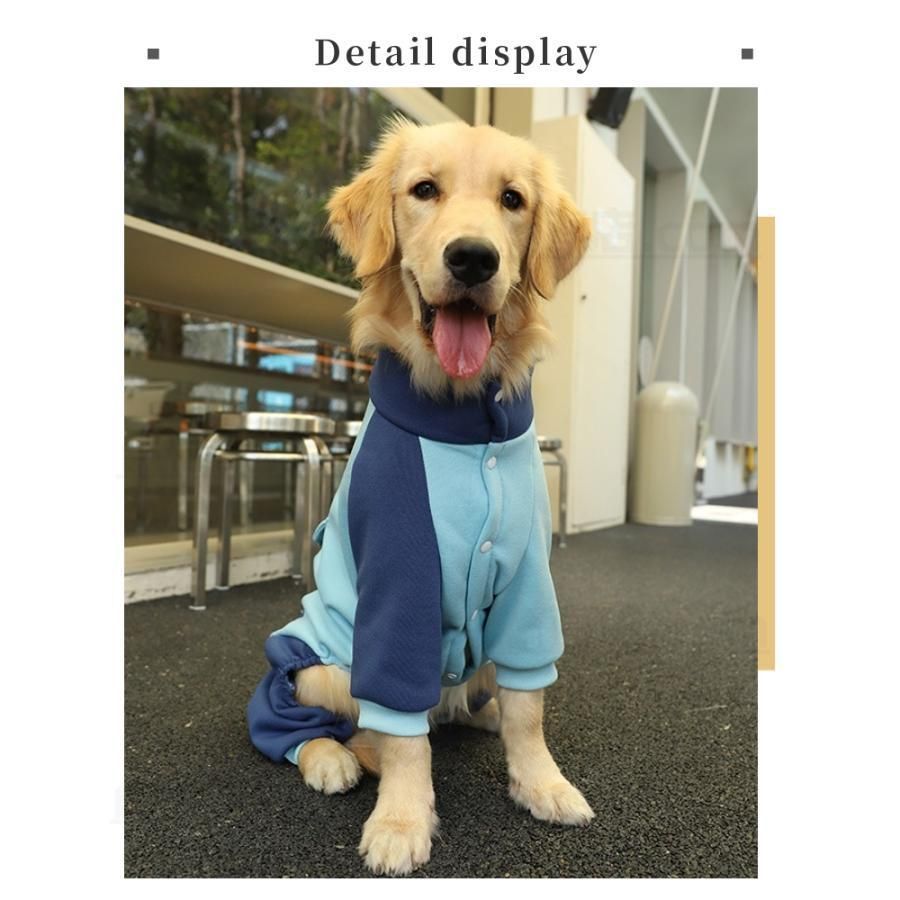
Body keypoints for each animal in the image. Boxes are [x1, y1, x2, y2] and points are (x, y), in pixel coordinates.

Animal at [247, 118, 593, 875]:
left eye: (513, 199)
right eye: (424, 190)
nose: (473, 259)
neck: (466, 423)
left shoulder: (529, 580)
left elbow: (530, 708)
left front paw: (542, 782)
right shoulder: (401, 585)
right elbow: (405, 738)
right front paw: (402, 821)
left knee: (475, 700)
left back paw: (479, 713)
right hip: (320, 666)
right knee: (309, 724)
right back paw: (334, 759)